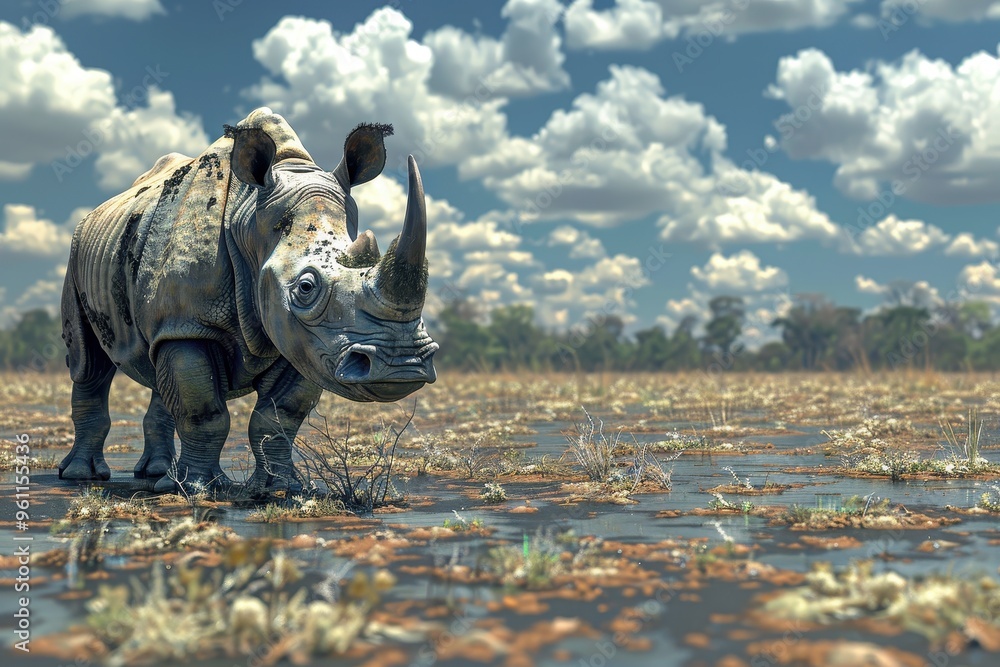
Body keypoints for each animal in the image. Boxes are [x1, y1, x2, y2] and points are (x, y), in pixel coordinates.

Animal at [58, 107, 438, 493]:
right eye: (305, 288)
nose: (402, 366)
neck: (249, 220)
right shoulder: (192, 324)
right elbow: (203, 411)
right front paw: (200, 489)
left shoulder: (303, 343)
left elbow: (279, 417)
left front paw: (281, 488)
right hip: (77, 256)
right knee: (88, 363)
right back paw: (82, 475)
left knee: (155, 363)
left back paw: (156, 474)